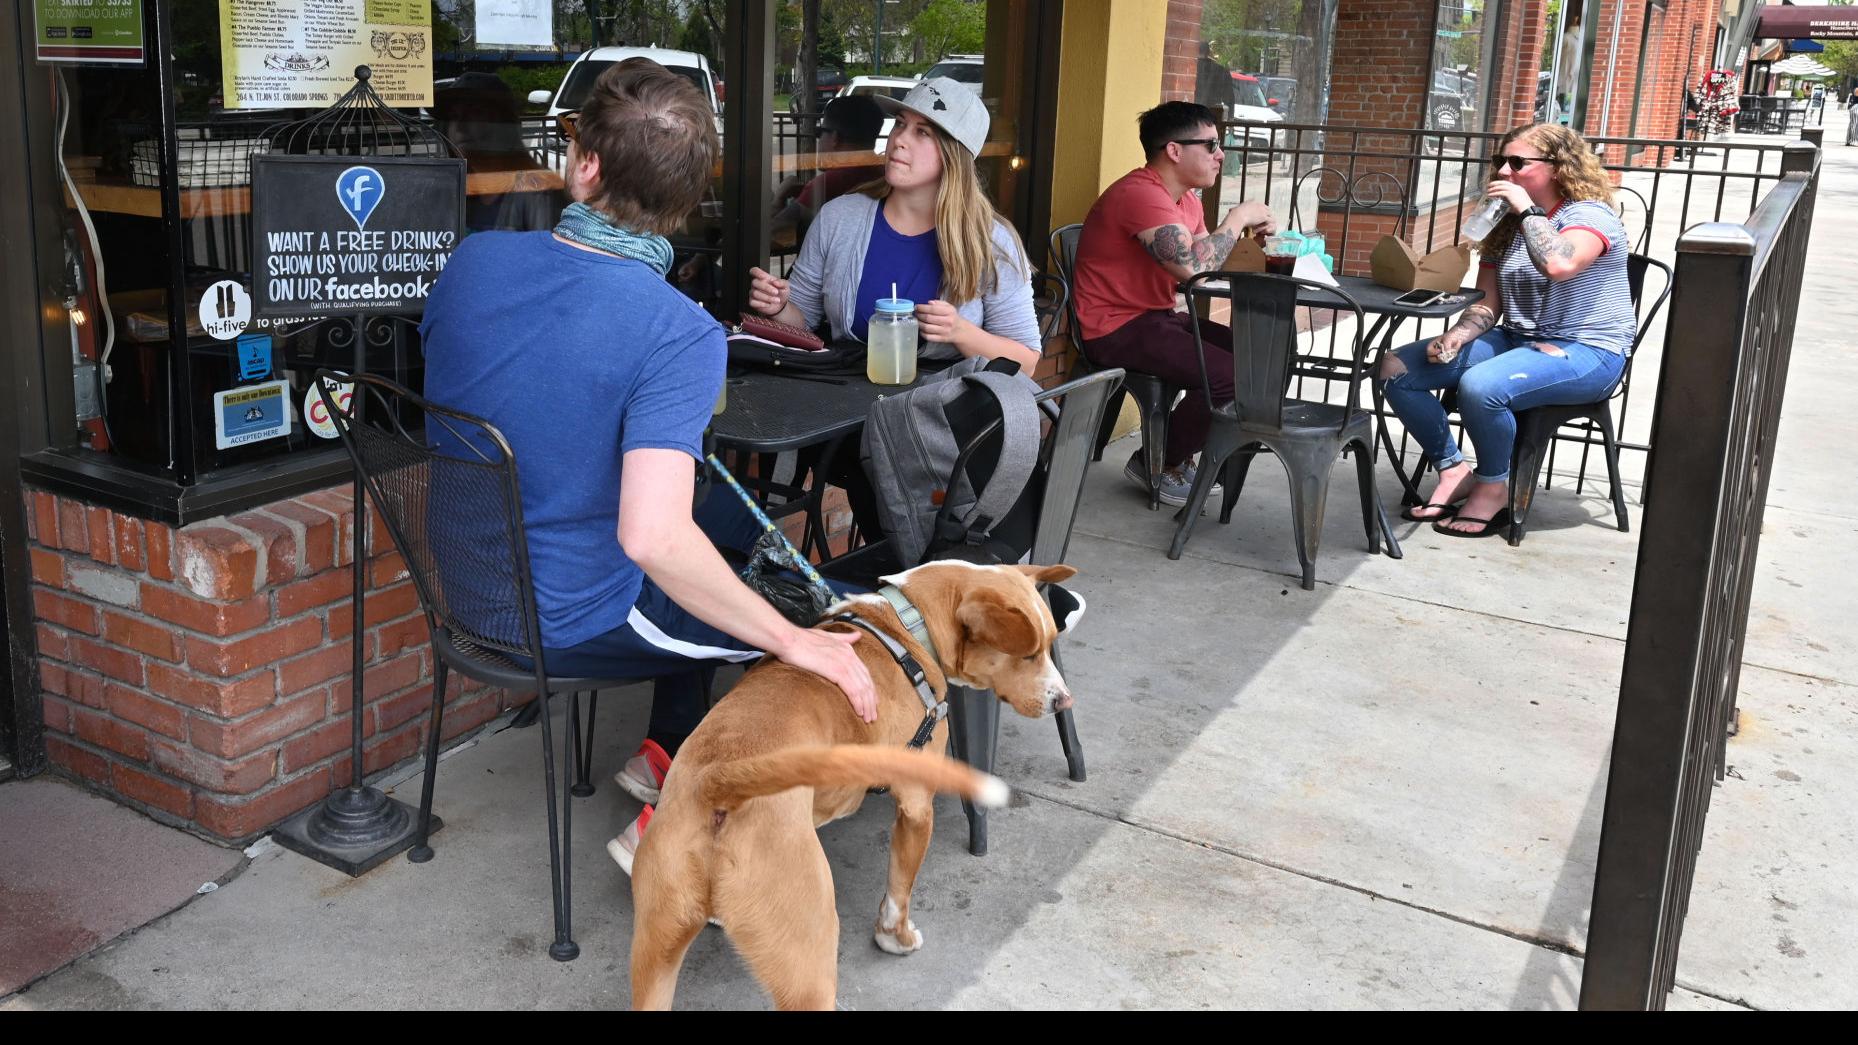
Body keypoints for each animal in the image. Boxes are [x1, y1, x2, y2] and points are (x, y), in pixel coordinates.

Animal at [631, 561, 1085, 1011]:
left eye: (1050, 645)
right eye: (1028, 654)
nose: (1065, 701)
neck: (909, 624)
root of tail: (720, 784)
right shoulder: (916, 808)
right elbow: (900, 889)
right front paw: (894, 938)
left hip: (656, 951)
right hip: (808, 964)